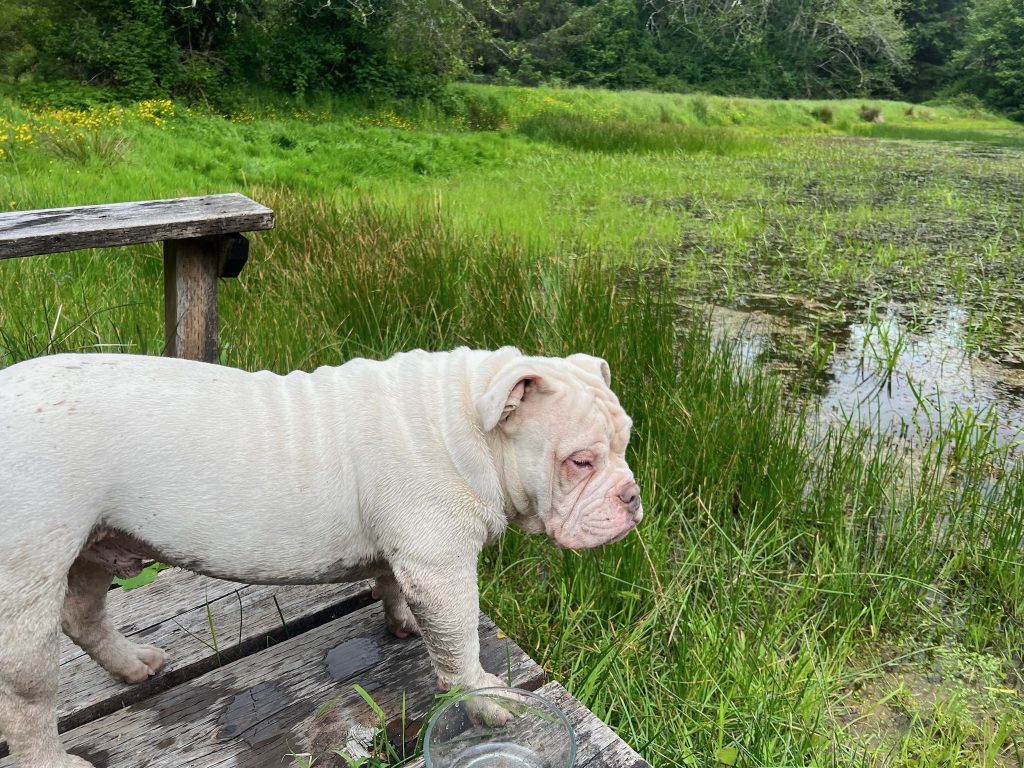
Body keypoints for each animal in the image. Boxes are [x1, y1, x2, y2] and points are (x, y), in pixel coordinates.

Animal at [0, 347, 642, 768]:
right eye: (580, 461)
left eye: (626, 443)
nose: (632, 496)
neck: (467, 423)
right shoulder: (440, 566)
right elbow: (459, 643)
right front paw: (485, 700)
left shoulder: (408, 556)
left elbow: (394, 587)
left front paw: (404, 623)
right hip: (29, 579)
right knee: (27, 699)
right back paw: (53, 760)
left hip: (89, 548)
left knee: (83, 613)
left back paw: (133, 664)